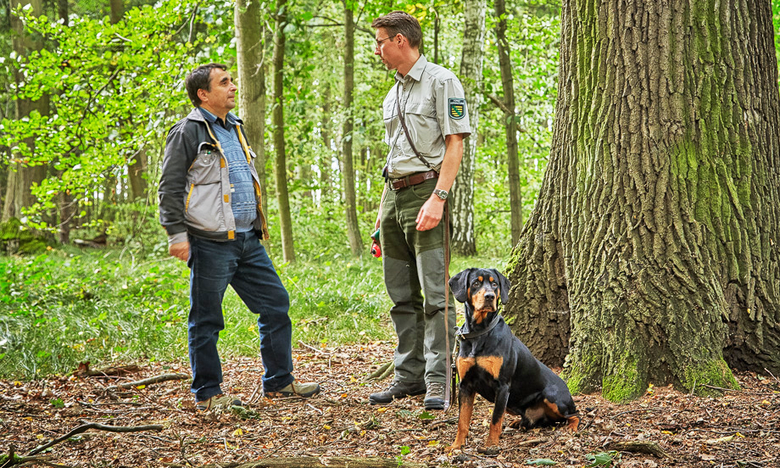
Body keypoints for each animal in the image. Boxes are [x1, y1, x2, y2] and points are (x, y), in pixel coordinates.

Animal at [444, 268, 580, 452]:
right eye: (476, 283)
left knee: (575, 414)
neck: (480, 332)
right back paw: (519, 422)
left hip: (552, 397)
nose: (489, 296)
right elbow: (462, 420)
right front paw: (456, 445)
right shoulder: (465, 385)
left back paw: (572, 427)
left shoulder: (502, 386)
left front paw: (491, 446)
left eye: (495, 284)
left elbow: (495, 420)